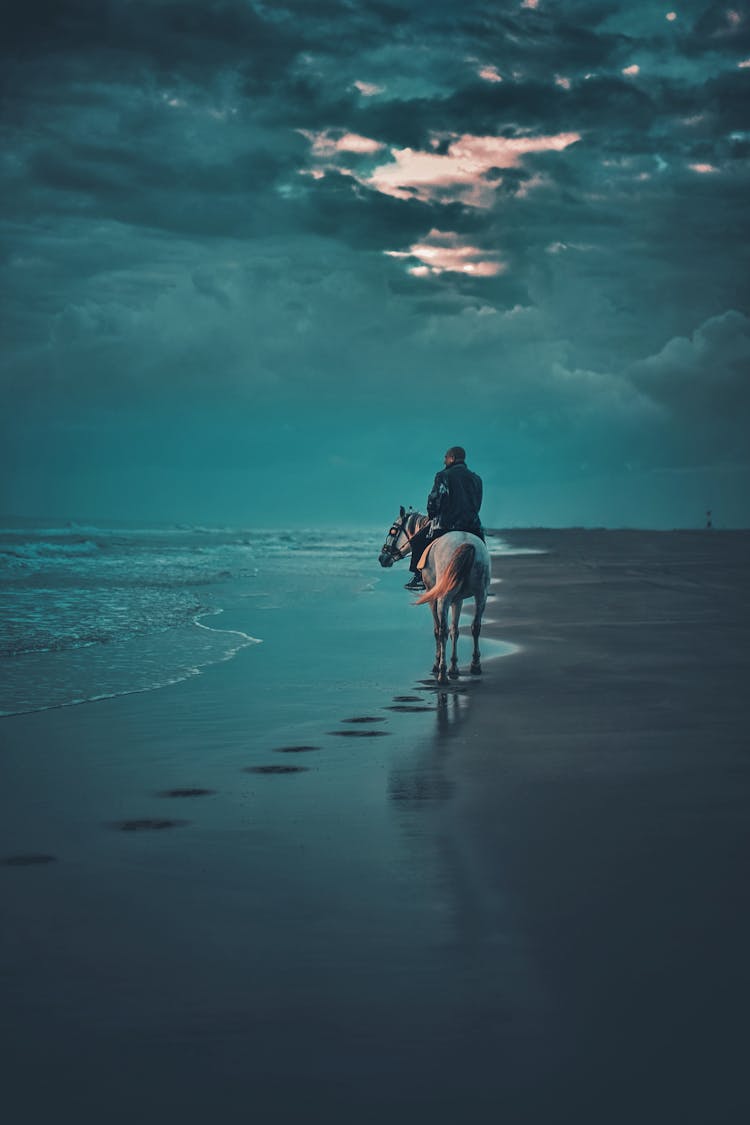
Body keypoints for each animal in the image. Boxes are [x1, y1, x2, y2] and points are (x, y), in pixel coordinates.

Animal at [377, 510, 490, 684]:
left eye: (393, 531)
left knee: (442, 630)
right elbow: (455, 630)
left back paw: (442, 673)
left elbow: (438, 630)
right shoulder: (458, 600)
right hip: (481, 595)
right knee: (475, 627)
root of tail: (467, 543)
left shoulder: (433, 596)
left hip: (443, 598)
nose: (382, 558)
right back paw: (475, 665)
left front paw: (439, 665)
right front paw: (454, 667)